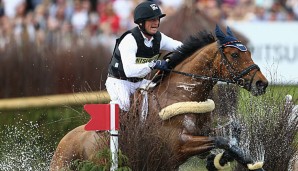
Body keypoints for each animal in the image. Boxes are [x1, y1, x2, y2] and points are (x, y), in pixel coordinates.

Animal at [50, 25, 268, 171]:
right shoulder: (181, 144)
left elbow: (232, 132)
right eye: (234, 55)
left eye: (249, 52)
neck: (181, 94)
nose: (261, 84)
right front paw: (238, 158)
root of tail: (63, 142)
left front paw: (226, 159)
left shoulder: (201, 134)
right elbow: (221, 140)